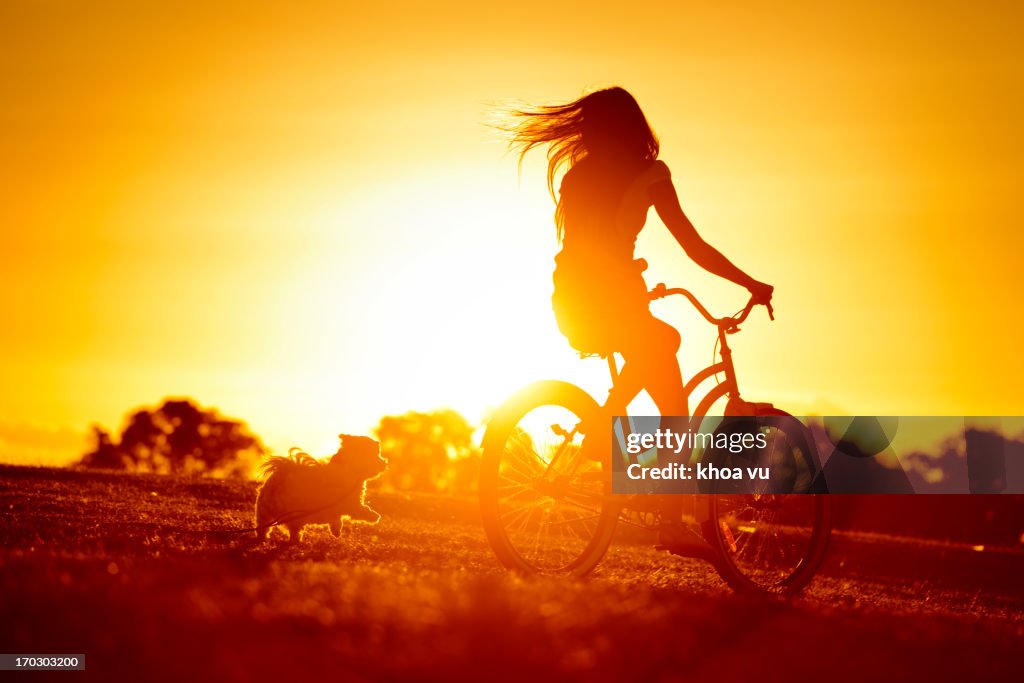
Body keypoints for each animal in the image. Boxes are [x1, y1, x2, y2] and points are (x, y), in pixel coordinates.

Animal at [253, 436, 385, 540]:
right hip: (294, 515)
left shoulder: (336, 510)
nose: (385, 463)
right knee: (293, 529)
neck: (349, 469)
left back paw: (262, 537)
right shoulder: (351, 503)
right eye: (376, 454)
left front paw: (336, 531)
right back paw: (295, 540)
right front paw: (374, 516)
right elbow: (362, 510)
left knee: (263, 525)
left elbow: (336, 520)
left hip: (264, 512)